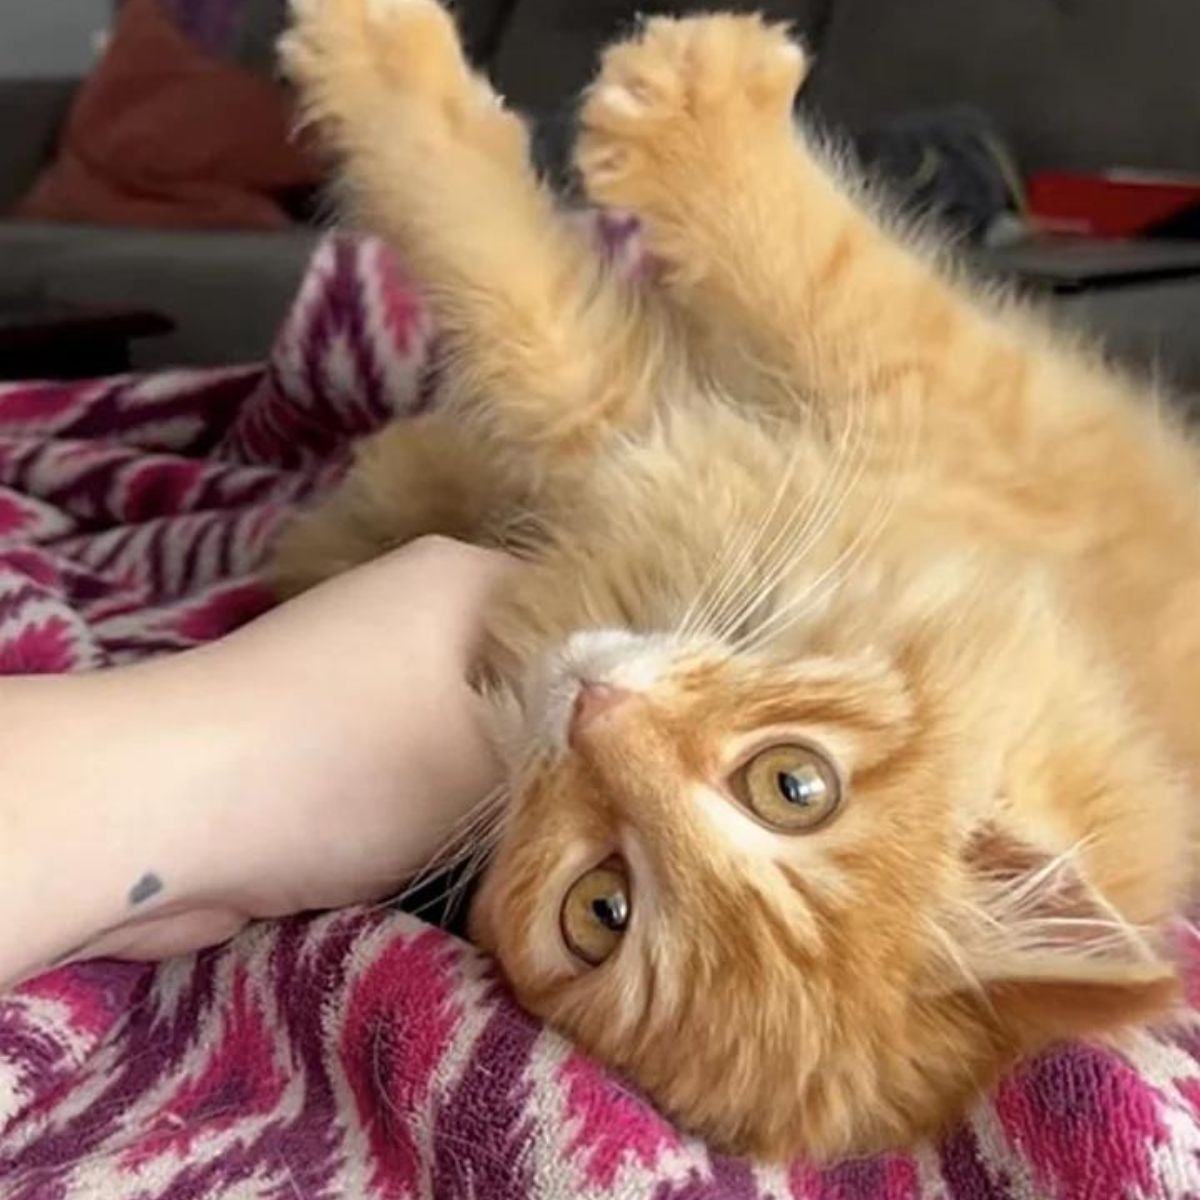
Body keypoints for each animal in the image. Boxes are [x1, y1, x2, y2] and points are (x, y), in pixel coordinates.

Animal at [274, 0, 1200, 1166]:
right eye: (795, 784)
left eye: (601, 911)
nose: (592, 711)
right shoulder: (964, 411)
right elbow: (801, 276)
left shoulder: (648, 423)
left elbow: (521, 295)